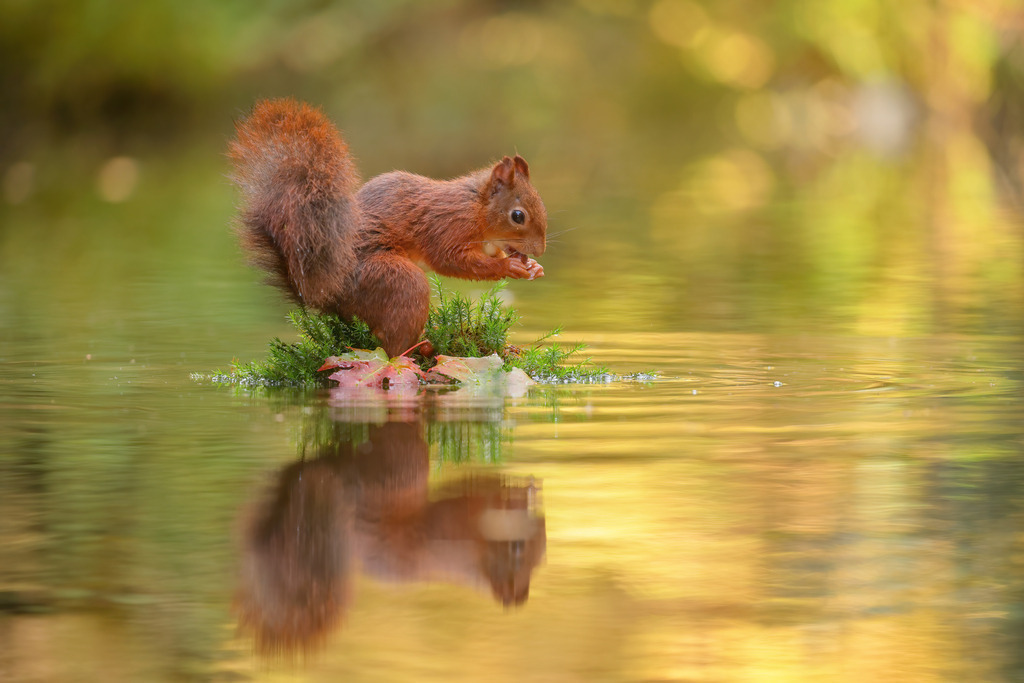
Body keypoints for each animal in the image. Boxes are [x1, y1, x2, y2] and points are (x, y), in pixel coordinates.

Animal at [228, 98, 548, 357]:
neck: (476, 208)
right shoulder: (445, 226)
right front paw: (510, 267)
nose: (541, 250)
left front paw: (531, 267)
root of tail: (330, 295)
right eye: (517, 216)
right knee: (393, 348)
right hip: (397, 282)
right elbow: (452, 261)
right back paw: (420, 350)